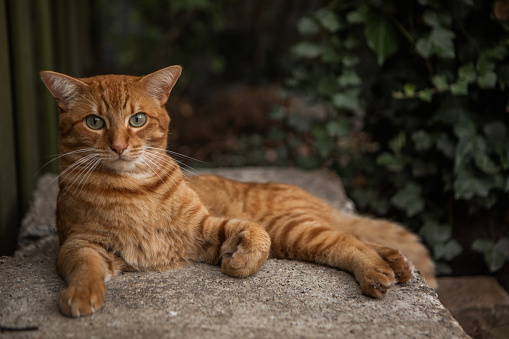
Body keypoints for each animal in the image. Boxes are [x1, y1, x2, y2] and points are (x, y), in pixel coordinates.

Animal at [40, 65, 432, 318]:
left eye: (137, 120)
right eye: (95, 122)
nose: (120, 147)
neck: (131, 188)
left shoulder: (206, 228)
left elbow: (255, 238)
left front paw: (239, 262)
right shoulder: (80, 243)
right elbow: (84, 267)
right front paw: (81, 294)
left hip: (292, 229)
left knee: (347, 241)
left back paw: (379, 270)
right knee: (355, 236)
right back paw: (396, 263)